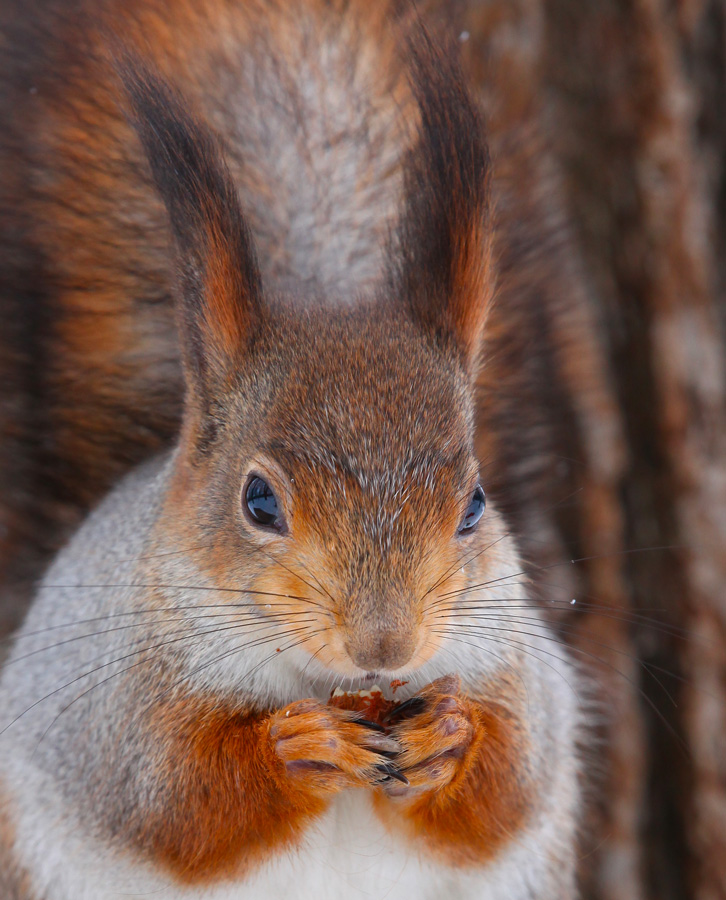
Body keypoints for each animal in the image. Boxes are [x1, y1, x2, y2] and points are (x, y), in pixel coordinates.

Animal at [0, 1, 580, 900]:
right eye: (259, 501)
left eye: (475, 505)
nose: (385, 646)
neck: (337, 684)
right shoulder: (115, 706)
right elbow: (176, 800)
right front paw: (298, 746)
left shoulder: (519, 672)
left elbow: (509, 784)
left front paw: (451, 735)